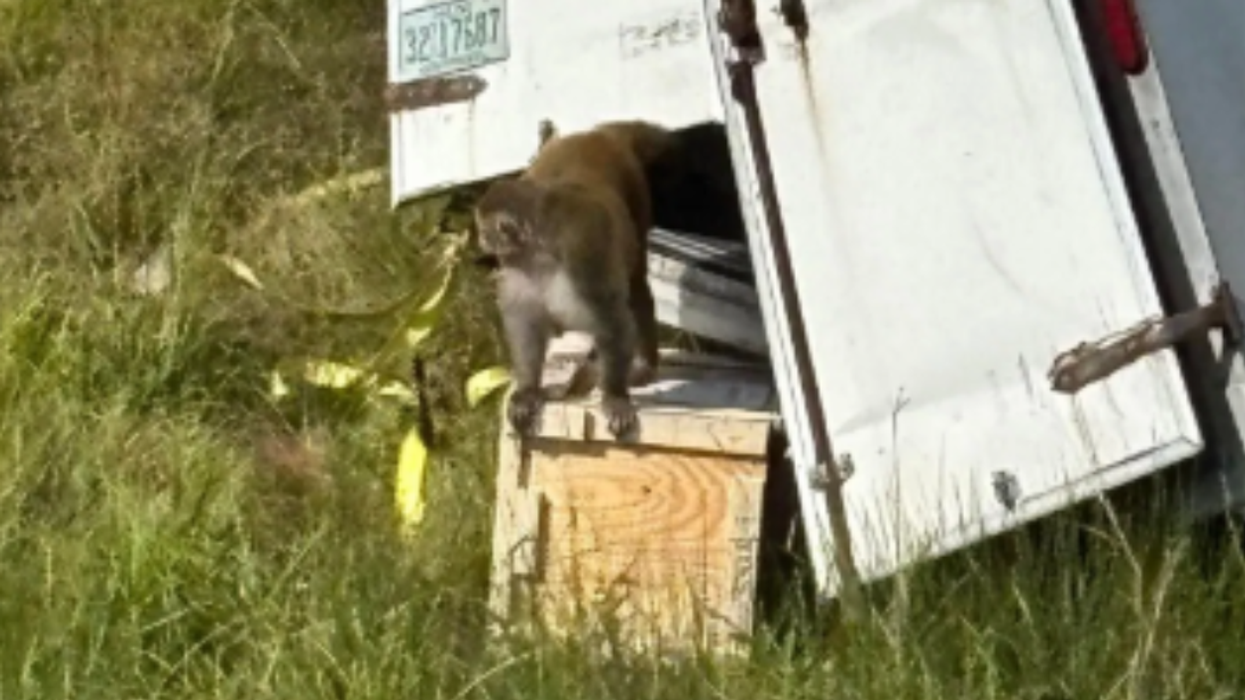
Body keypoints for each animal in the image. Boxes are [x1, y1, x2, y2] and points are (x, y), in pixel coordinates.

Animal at [474, 120, 679, 439]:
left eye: (485, 230)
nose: (481, 240)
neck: (541, 248)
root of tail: (596, 134)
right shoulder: (518, 265)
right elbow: (526, 322)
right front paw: (528, 390)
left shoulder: (583, 254)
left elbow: (611, 320)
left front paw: (614, 395)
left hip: (635, 190)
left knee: (635, 285)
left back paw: (645, 365)